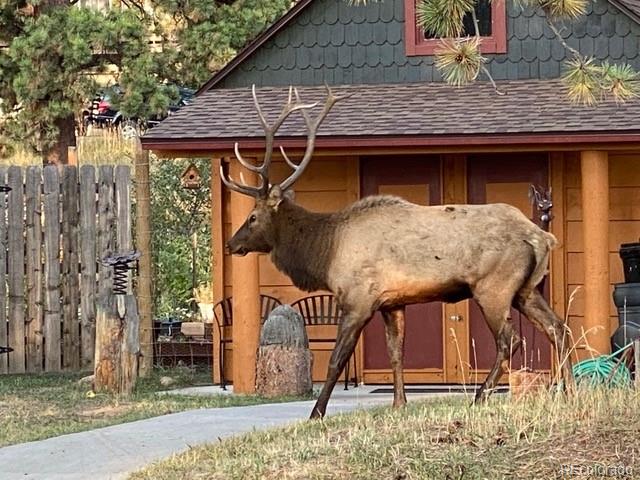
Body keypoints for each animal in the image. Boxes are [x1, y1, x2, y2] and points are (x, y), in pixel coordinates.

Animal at [224, 84, 576, 418]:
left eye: (252, 217)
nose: (231, 243)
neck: (325, 252)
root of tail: (543, 236)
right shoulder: (392, 302)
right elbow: (396, 354)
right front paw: (399, 403)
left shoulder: (358, 299)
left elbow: (337, 359)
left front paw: (316, 413)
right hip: (526, 289)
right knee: (558, 328)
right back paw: (569, 392)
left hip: (494, 287)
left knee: (511, 340)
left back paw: (480, 396)